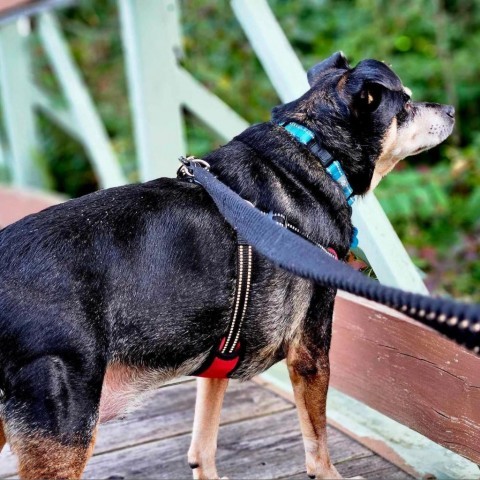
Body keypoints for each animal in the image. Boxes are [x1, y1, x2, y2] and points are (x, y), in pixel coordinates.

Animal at [0, 51, 454, 476]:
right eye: (406, 103)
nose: (451, 110)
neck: (314, 152)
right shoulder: (309, 350)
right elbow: (318, 443)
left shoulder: (220, 355)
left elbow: (204, 442)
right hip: (65, 426)